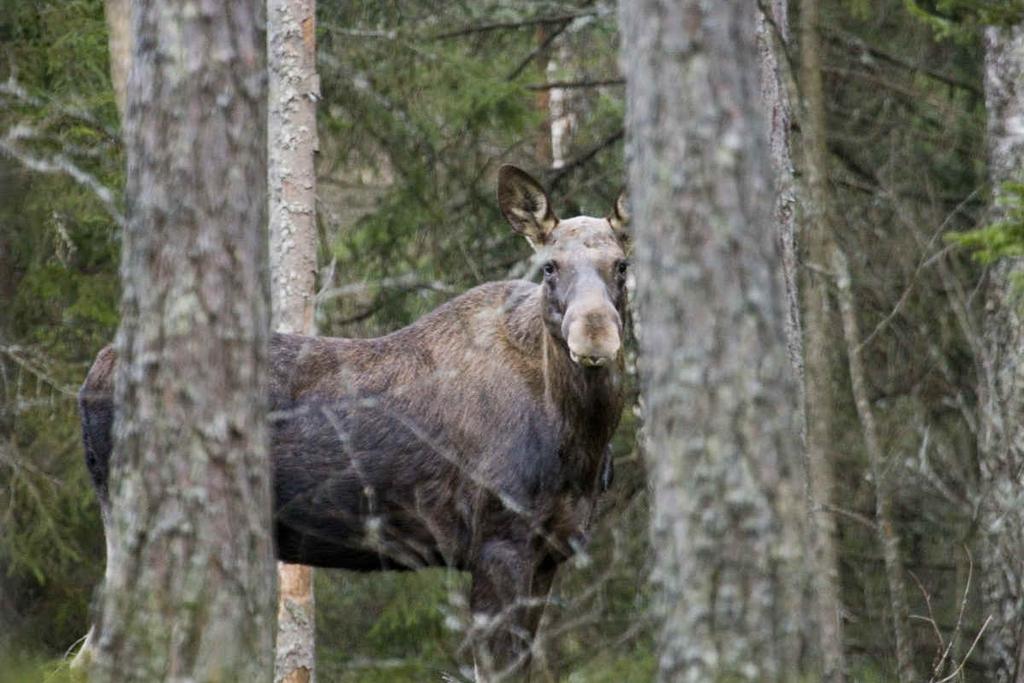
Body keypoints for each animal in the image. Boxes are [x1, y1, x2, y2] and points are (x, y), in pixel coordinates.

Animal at [75, 166, 626, 679]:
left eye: (621, 264)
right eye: (550, 266)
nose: (595, 335)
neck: (578, 438)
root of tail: (89, 379)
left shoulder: (550, 553)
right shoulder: (498, 543)